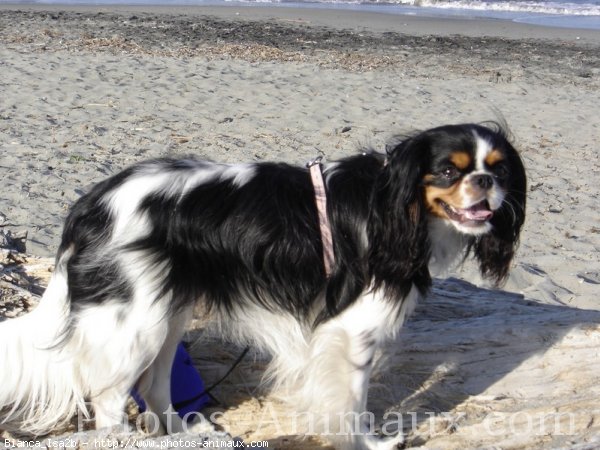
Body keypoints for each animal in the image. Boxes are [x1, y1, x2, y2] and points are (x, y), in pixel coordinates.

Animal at [0, 121, 524, 448]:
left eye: (498, 169)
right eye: (449, 170)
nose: (485, 183)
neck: (395, 205)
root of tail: (89, 204)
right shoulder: (351, 332)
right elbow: (352, 404)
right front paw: (367, 444)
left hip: (167, 314)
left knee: (154, 384)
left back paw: (183, 435)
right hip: (136, 323)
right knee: (110, 397)